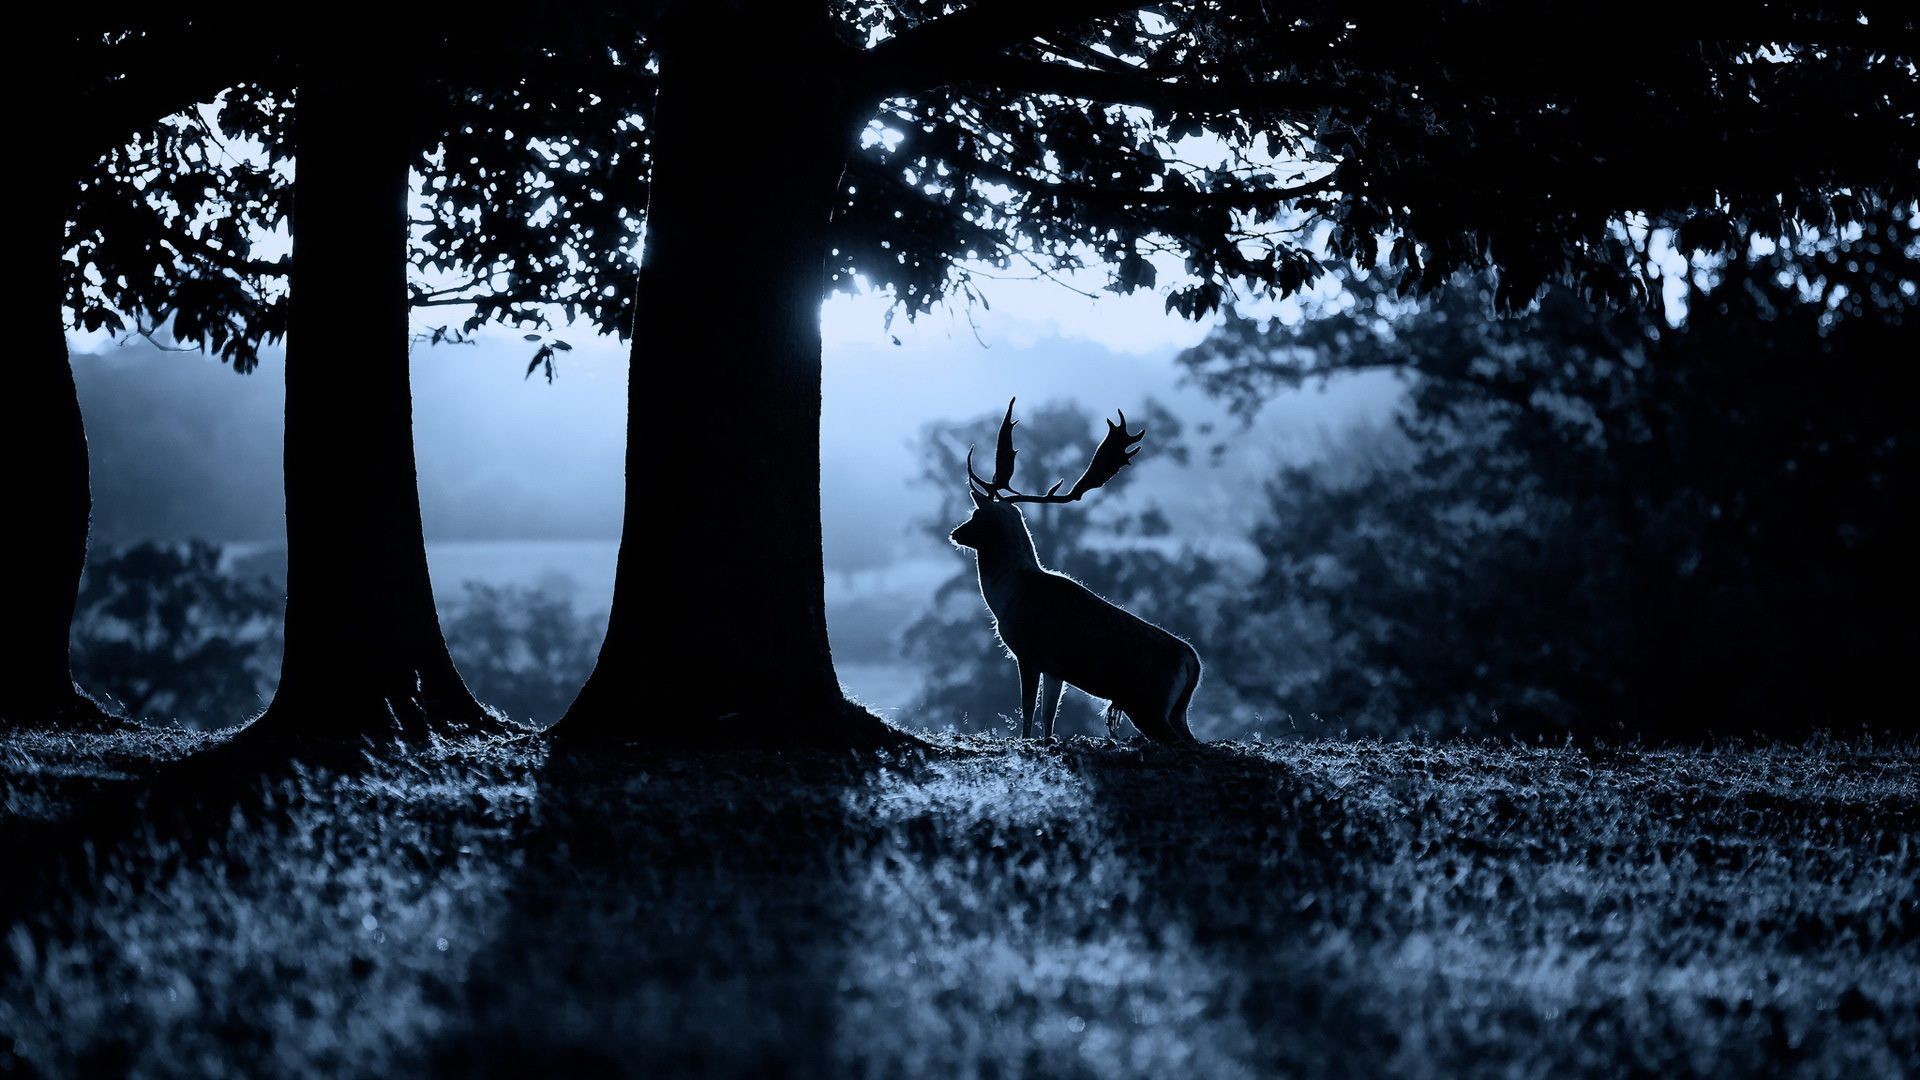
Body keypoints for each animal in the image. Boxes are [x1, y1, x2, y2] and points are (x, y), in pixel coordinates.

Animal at [948, 400, 1202, 744]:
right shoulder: (1056, 669)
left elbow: (1027, 709)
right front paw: (1047, 740)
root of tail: (1193, 662)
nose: (955, 533)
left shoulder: (1028, 652)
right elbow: (1049, 716)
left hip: (1149, 704)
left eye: (976, 514)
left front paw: (1025, 740)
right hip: (1177, 711)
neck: (1007, 595)